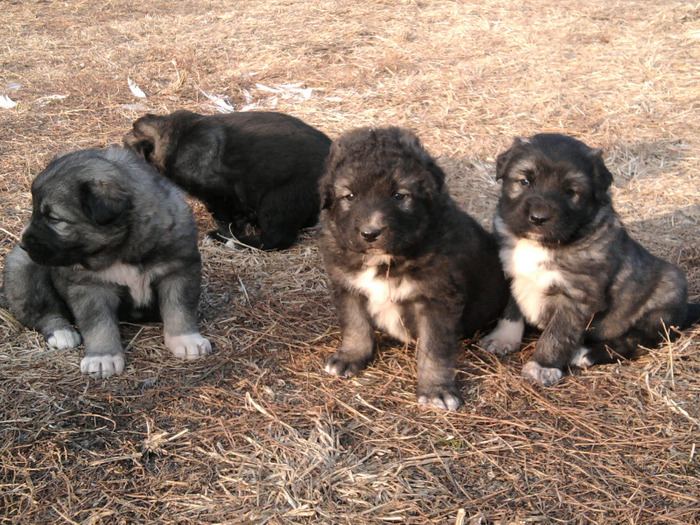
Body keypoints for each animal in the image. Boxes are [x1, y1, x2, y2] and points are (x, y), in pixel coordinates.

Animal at [2, 147, 211, 376]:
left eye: (54, 219)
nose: (23, 243)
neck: (122, 249)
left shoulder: (178, 271)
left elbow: (179, 308)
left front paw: (186, 340)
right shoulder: (91, 287)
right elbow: (99, 324)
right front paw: (103, 357)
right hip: (24, 269)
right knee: (42, 311)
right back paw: (62, 332)